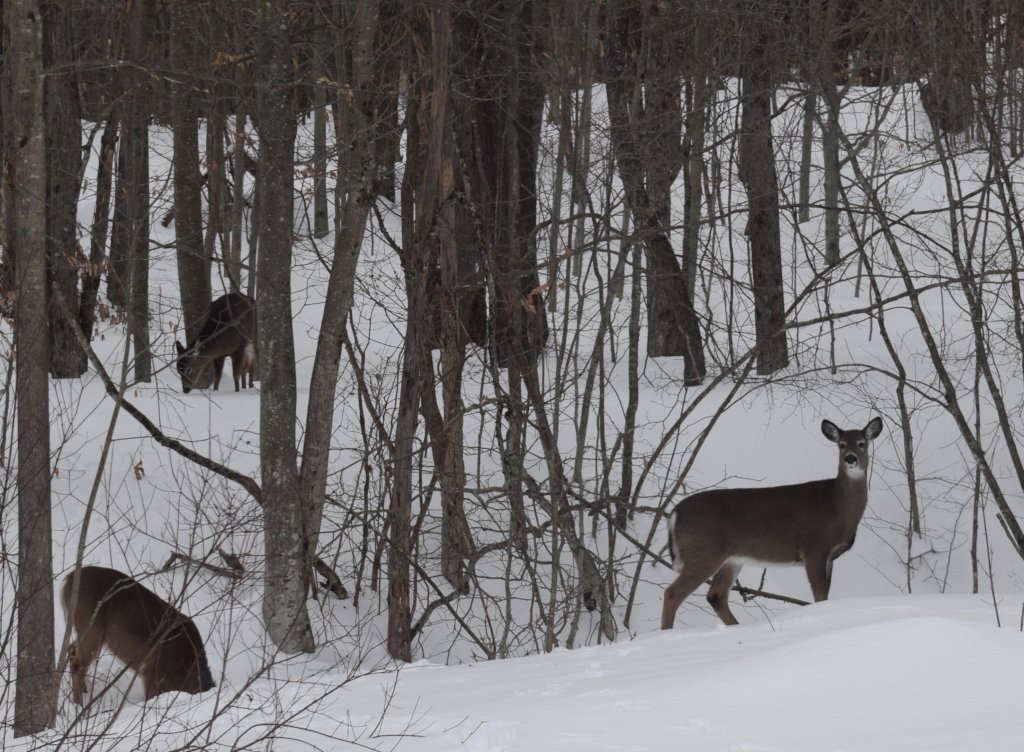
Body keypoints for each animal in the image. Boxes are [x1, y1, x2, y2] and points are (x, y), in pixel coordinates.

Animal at [61, 566, 215, 704]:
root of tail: (67, 581)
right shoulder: (151, 671)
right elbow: (150, 699)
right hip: (91, 626)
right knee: (77, 664)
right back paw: (79, 705)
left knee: (72, 651)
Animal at [662, 417, 883, 629]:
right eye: (841, 445)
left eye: (862, 443)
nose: (850, 458)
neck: (837, 509)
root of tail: (675, 512)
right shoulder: (813, 548)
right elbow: (820, 597)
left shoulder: (829, 557)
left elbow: (825, 595)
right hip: (703, 552)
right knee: (672, 593)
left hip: (731, 559)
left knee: (716, 596)